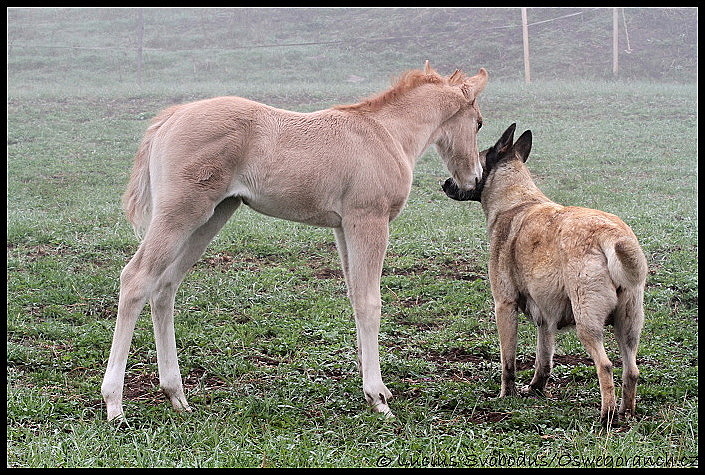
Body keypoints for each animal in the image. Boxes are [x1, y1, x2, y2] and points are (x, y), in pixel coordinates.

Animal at [103, 62, 490, 420]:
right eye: (479, 123)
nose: (472, 180)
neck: (386, 134)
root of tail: (170, 118)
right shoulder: (368, 220)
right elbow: (370, 302)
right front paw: (379, 397)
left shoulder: (343, 227)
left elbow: (354, 297)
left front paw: (369, 390)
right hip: (181, 213)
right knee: (136, 279)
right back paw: (114, 405)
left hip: (212, 216)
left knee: (164, 287)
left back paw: (176, 395)